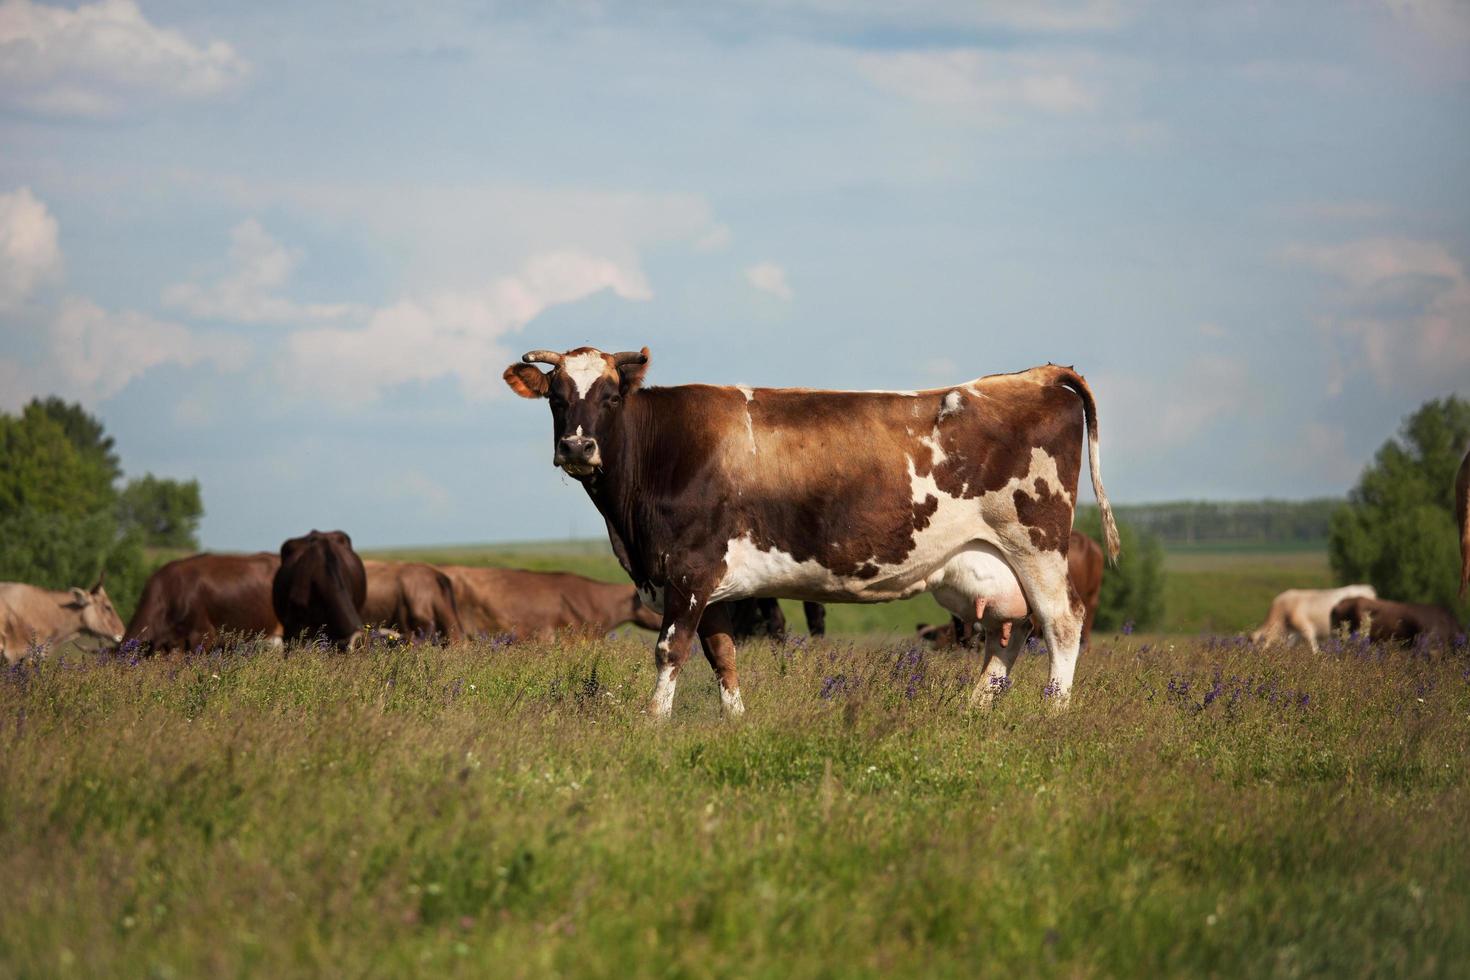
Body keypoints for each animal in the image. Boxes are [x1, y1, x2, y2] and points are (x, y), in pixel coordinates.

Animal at [505, 348, 1111, 717]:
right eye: (556, 398)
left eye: (610, 397)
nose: (577, 447)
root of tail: (1034, 375)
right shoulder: (712, 585)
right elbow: (723, 655)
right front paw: (735, 722)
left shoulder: (688, 572)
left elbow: (669, 650)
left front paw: (652, 723)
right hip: (989, 563)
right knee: (1008, 631)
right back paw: (973, 710)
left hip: (1037, 544)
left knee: (1061, 623)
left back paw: (1052, 711)